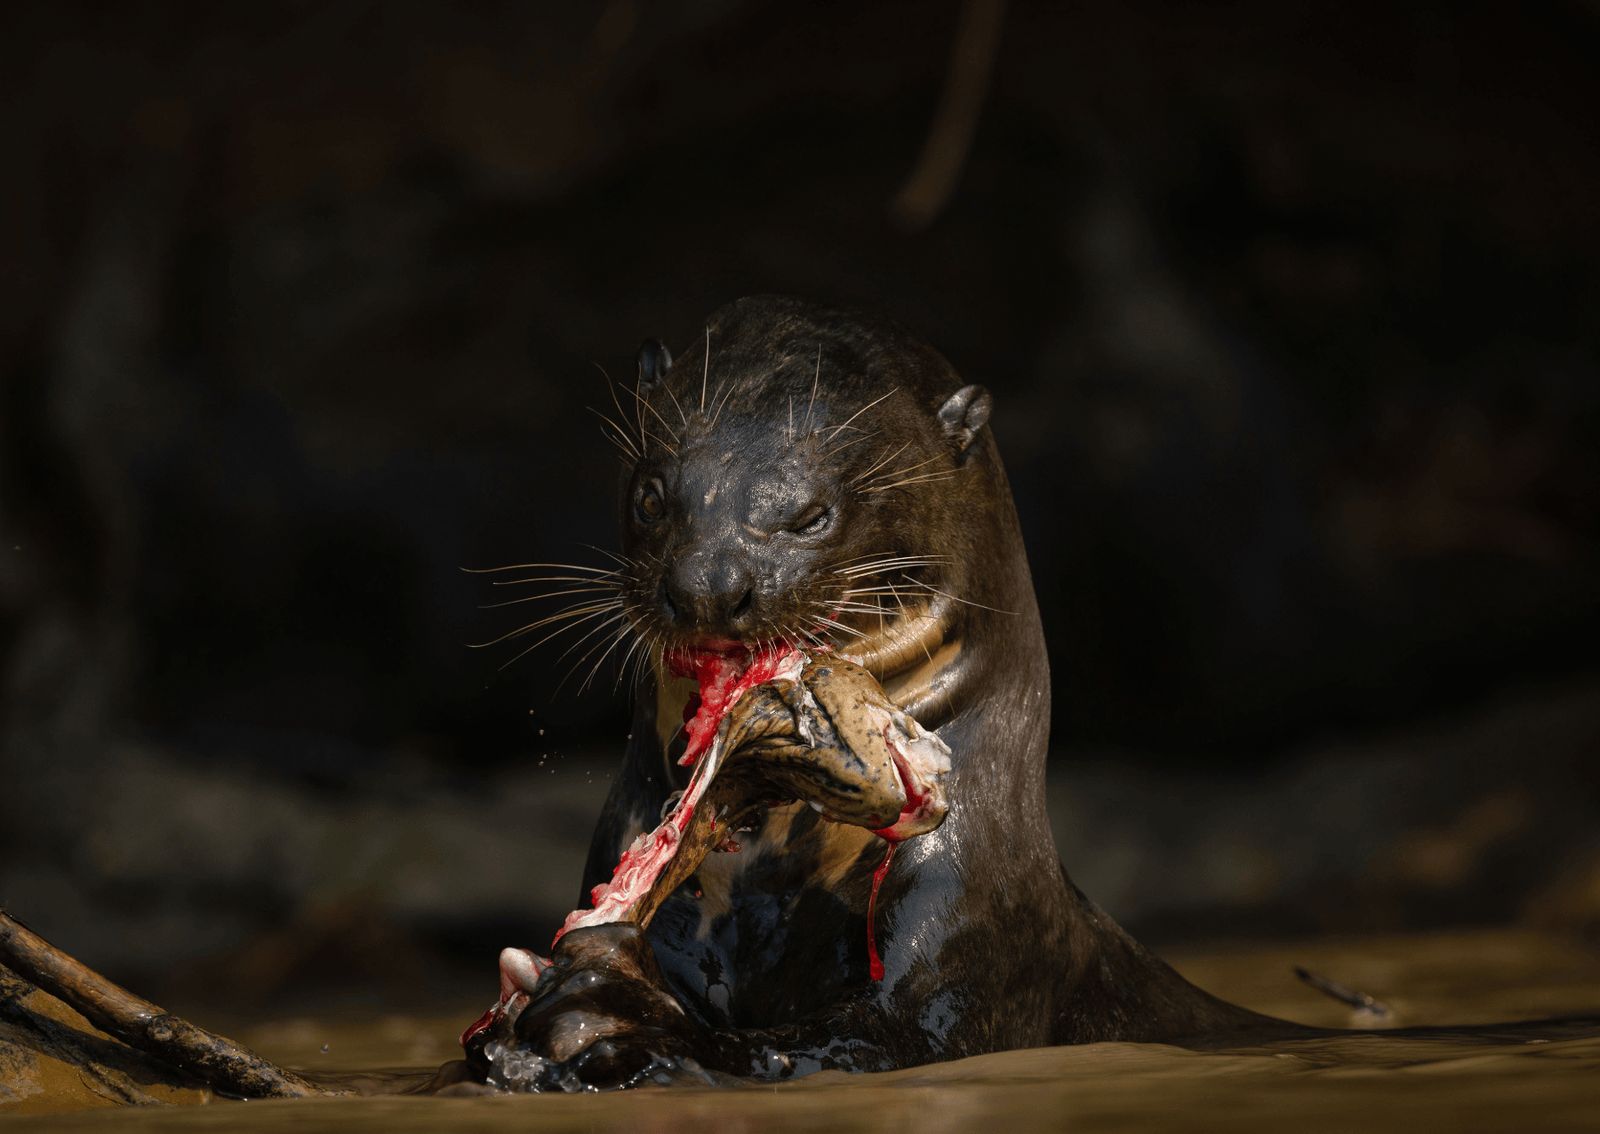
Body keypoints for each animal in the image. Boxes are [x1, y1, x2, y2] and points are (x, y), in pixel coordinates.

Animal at [463, 295, 1270, 1089]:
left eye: (811, 517)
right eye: (653, 497)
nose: (706, 587)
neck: (768, 874)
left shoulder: (969, 941)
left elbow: (852, 1044)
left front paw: (614, 1008)